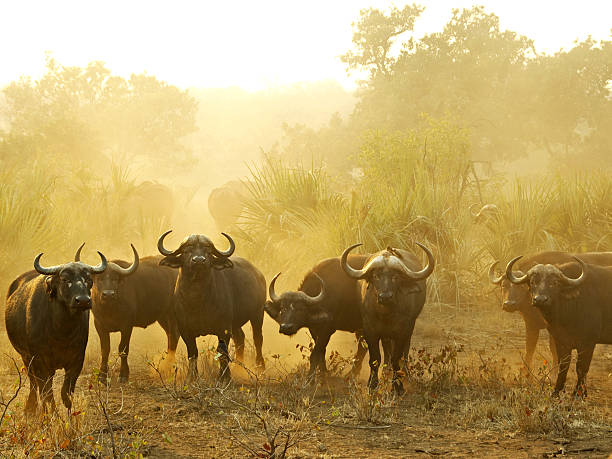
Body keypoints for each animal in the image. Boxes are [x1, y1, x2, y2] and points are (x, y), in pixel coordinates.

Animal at [4, 252, 107, 414]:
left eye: (88, 279)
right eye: (65, 279)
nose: (83, 300)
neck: (62, 331)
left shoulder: (77, 360)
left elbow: (66, 392)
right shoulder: (39, 361)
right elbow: (46, 392)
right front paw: (51, 413)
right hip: (25, 357)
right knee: (34, 383)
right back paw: (30, 408)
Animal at [75, 244, 178, 384]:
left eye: (115, 279)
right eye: (100, 279)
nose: (108, 294)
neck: (110, 309)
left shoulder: (127, 326)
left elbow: (123, 349)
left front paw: (123, 375)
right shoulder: (99, 325)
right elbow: (105, 349)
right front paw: (102, 375)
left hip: (172, 313)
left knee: (174, 336)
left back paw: (169, 366)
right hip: (162, 316)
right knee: (170, 335)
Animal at [264, 256, 392, 382]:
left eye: (300, 309)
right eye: (282, 308)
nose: (286, 327)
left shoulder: (327, 329)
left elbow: (315, 353)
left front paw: (310, 379)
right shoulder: (314, 329)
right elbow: (322, 352)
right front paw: (323, 373)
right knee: (365, 347)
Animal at [340, 244, 436, 396]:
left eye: (395, 277)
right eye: (375, 276)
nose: (385, 296)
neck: (385, 314)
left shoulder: (402, 331)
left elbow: (396, 358)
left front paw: (398, 386)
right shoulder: (370, 330)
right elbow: (375, 358)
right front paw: (372, 385)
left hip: (409, 329)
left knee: (404, 352)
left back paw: (405, 374)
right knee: (386, 350)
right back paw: (385, 371)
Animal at [504, 256, 612, 398]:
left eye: (554, 283)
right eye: (533, 282)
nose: (540, 299)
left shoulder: (588, 343)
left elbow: (581, 368)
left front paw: (579, 394)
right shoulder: (560, 340)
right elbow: (563, 365)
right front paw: (556, 391)